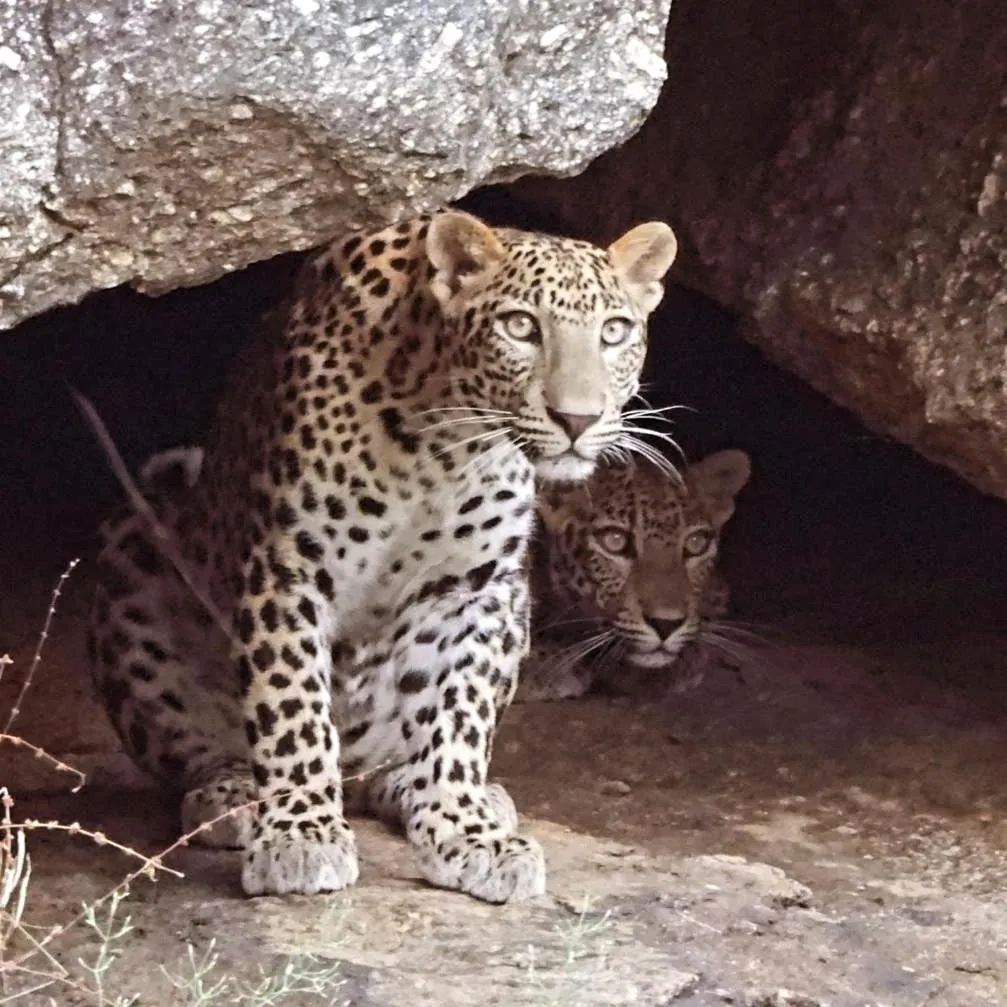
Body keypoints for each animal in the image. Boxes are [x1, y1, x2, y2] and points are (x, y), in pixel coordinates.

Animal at [86, 209, 678, 904]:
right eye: (520, 327)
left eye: (614, 332)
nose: (578, 419)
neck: (442, 445)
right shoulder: (289, 567)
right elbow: (293, 704)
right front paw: (300, 834)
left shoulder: (478, 588)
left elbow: (461, 714)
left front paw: (466, 828)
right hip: (132, 547)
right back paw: (233, 795)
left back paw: (437, 790)